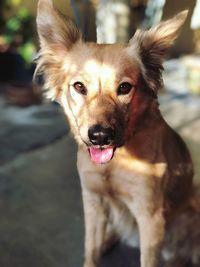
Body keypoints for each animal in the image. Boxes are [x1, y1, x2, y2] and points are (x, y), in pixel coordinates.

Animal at [34, 1, 194, 266]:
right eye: (79, 86)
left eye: (124, 87)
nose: (100, 136)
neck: (115, 162)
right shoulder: (93, 201)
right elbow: (91, 249)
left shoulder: (150, 217)